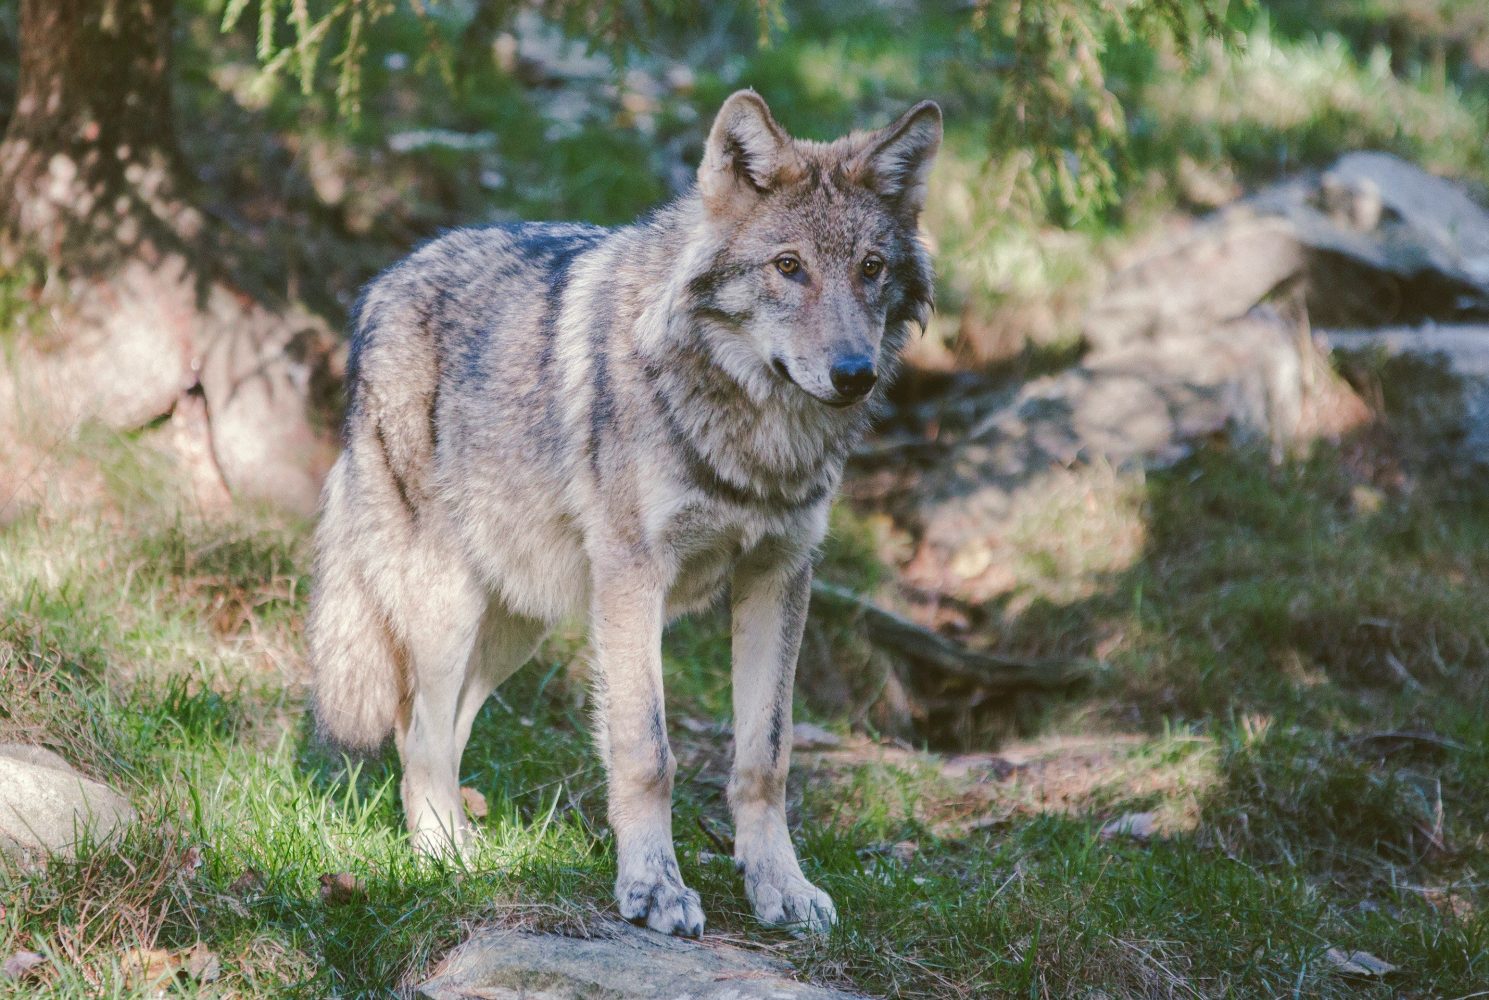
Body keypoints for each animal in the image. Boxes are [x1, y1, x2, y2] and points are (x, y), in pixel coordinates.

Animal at [306, 90, 940, 937]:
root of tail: (380, 286)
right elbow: (647, 753)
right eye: (788, 267)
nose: (853, 374)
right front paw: (654, 889)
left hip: (518, 622)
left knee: (448, 726)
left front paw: (780, 886)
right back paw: (444, 859)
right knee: (417, 733)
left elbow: (764, 757)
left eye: (870, 268)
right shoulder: (637, 578)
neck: (755, 436)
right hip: (447, 607)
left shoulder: (778, 575)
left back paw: (470, 848)